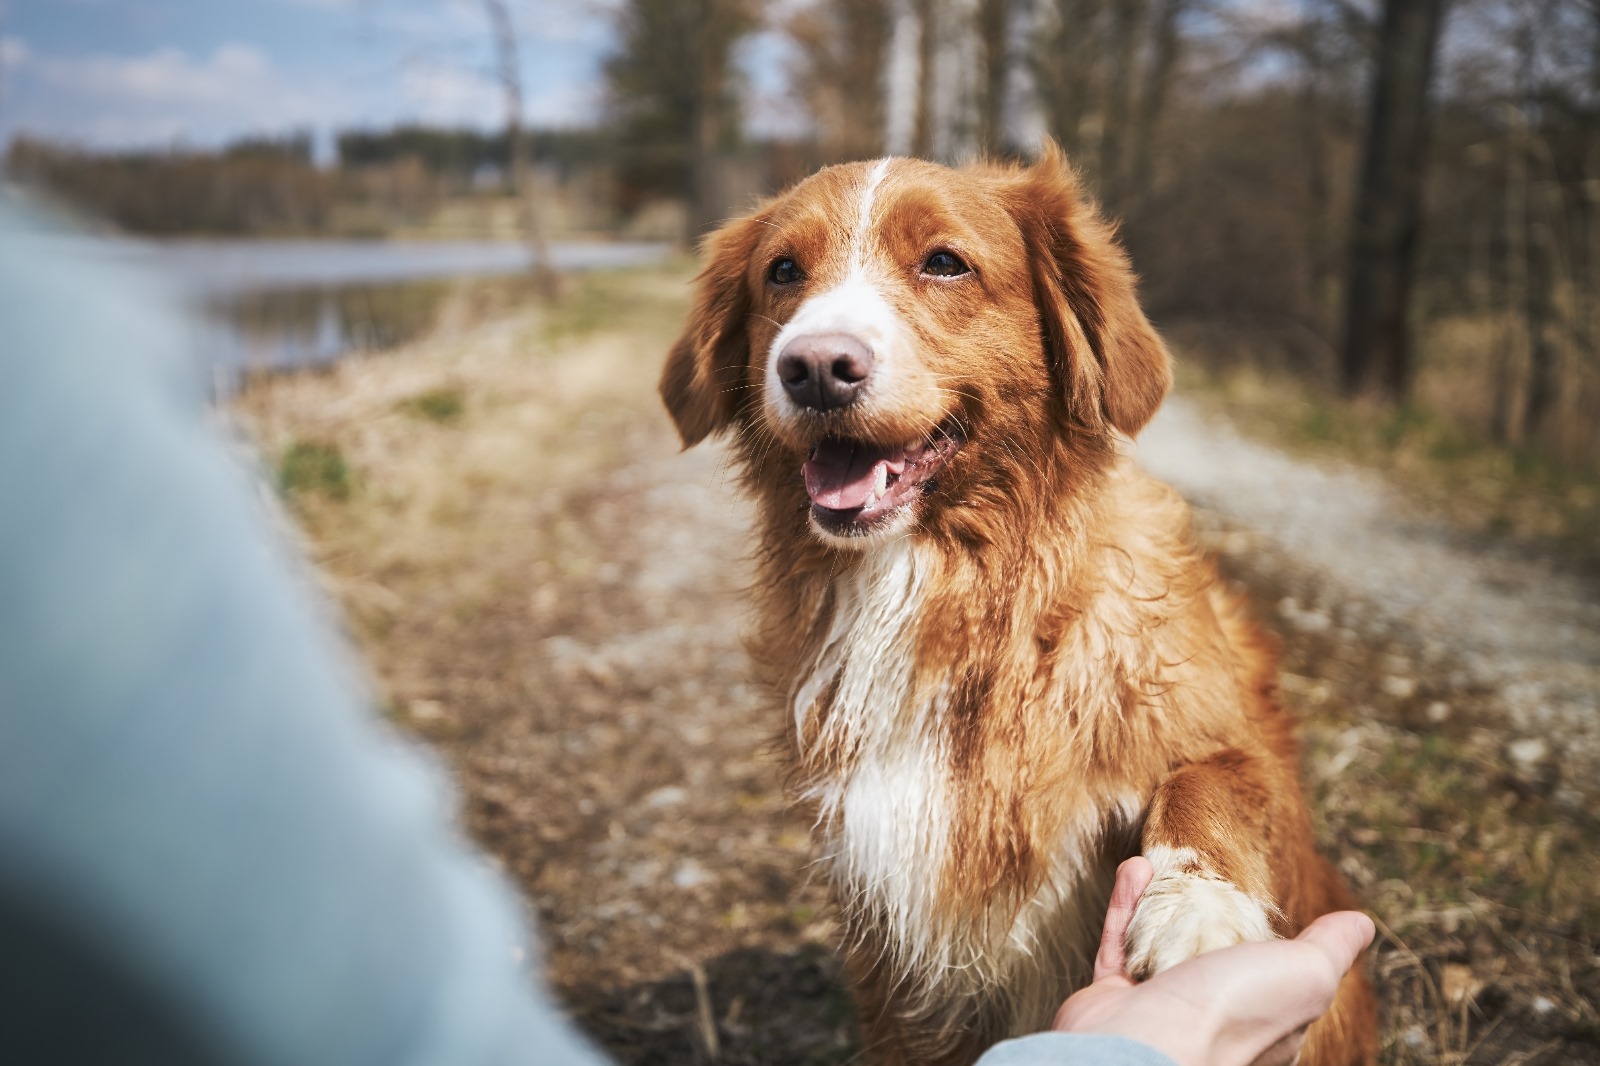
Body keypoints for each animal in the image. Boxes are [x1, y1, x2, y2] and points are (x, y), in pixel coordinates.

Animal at [659, 143, 1376, 1062]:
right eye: (782, 272)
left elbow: (1212, 779)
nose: (814, 366)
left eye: (944, 262)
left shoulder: (1242, 746)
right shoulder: (892, 949)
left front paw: (1196, 909)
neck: (953, 587)